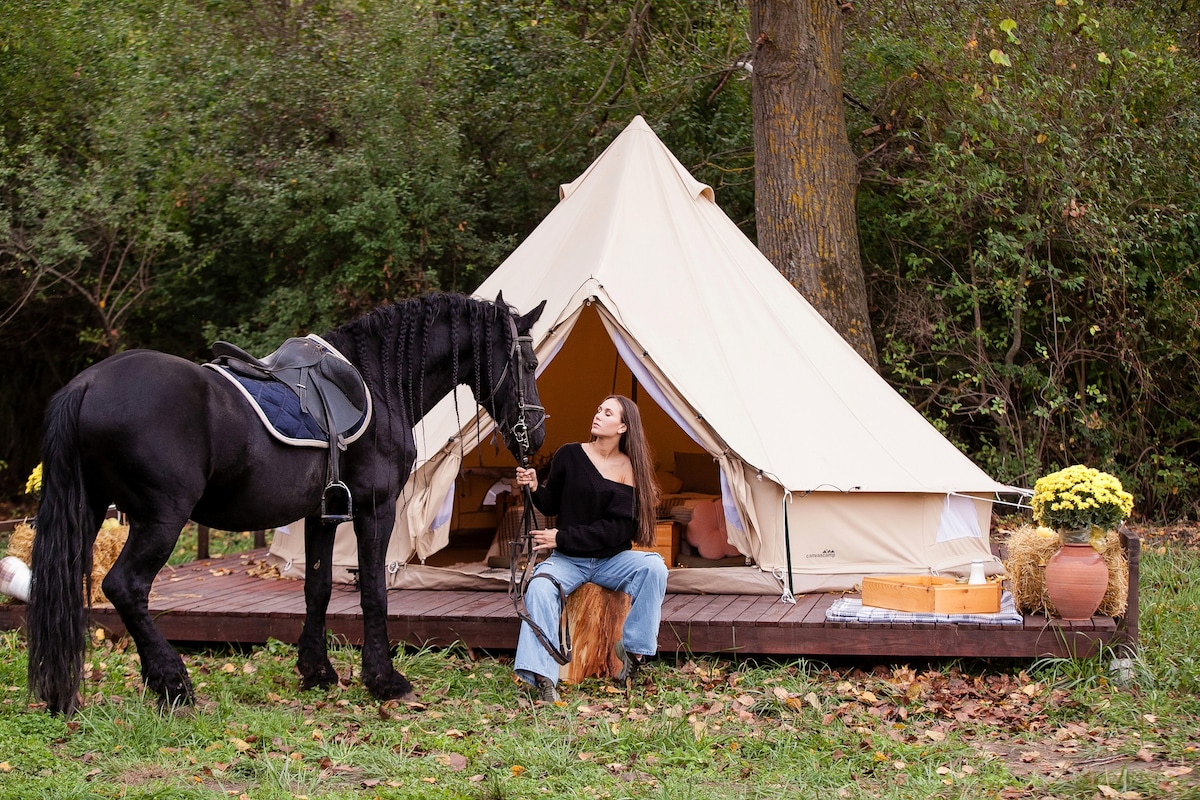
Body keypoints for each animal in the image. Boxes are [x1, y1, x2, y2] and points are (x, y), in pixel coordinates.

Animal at [27, 291, 544, 714]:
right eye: (528, 364)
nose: (535, 435)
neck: (379, 382)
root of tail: (84, 386)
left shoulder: (322, 515)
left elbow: (318, 589)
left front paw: (317, 672)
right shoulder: (375, 510)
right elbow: (374, 592)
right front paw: (384, 680)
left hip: (91, 514)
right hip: (161, 519)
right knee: (125, 587)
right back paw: (173, 684)